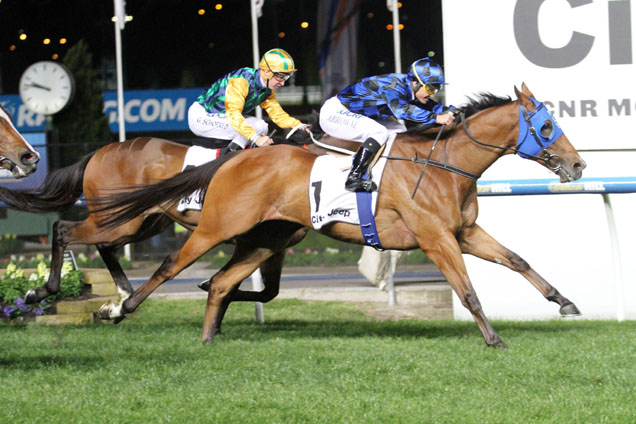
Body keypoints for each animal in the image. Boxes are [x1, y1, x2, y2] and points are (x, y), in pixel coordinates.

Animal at [94, 84, 588, 350]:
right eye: (547, 127)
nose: (579, 164)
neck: (444, 163)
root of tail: (238, 157)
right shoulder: (436, 239)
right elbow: (467, 291)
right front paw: (493, 338)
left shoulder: (464, 231)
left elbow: (517, 260)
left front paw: (564, 301)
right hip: (219, 227)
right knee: (168, 266)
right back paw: (118, 307)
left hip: (268, 238)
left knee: (219, 283)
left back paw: (208, 338)